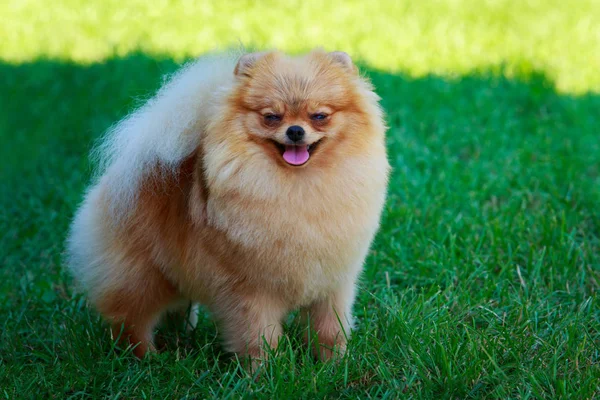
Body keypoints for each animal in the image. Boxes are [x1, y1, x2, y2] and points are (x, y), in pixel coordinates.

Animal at [67, 49, 390, 362]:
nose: (296, 131)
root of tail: (125, 171)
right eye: (271, 117)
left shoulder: (334, 282)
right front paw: (265, 371)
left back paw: (181, 335)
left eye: (320, 115)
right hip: (140, 275)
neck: (298, 186)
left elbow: (330, 329)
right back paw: (145, 358)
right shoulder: (251, 290)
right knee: (130, 318)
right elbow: (259, 338)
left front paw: (333, 364)